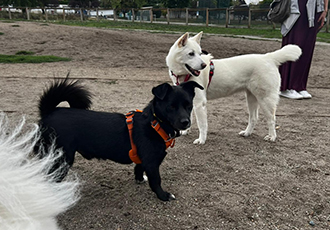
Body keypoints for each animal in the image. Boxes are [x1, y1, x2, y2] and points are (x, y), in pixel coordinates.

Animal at [37, 78, 202, 200]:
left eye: (189, 105)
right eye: (171, 106)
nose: (186, 122)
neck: (154, 123)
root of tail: (49, 112)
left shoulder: (143, 159)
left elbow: (138, 168)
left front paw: (139, 179)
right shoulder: (152, 162)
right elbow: (156, 180)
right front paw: (163, 196)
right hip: (62, 158)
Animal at [168, 32, 302, 144]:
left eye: (200, 53)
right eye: (191, 54)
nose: (204, 65)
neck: (185, 75)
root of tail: (268, 57)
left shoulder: (200, 103)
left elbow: (202, 125)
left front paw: (201, 140)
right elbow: (189, 118)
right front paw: (185, 131)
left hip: (266, 100)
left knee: (271, 119)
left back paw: (272, 137)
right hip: (251, 98)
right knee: (254, 118)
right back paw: (247, 133)